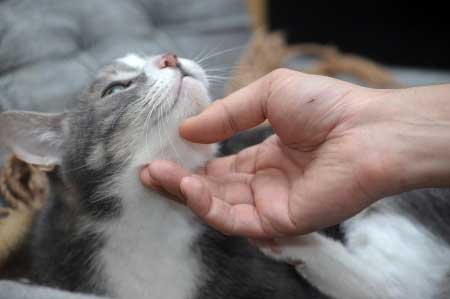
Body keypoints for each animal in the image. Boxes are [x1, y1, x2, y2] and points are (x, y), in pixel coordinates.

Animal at [0, 52, 448, 298]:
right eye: (115, 89)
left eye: (153, 57)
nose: (169, 56)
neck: (151, 221)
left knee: (397, 283)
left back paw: (296, 246)